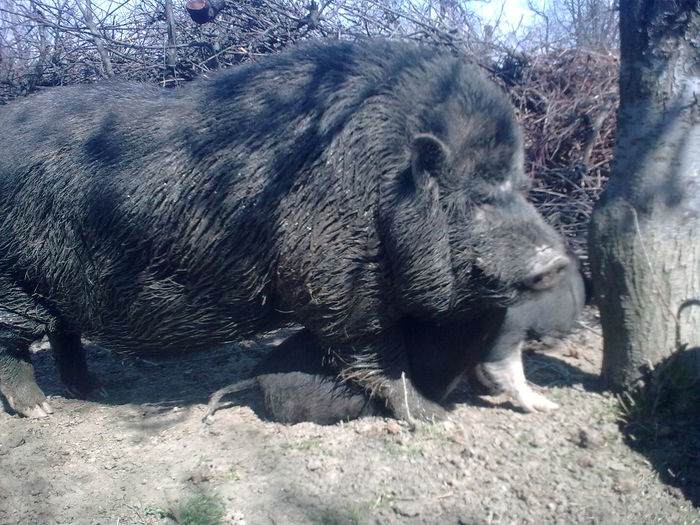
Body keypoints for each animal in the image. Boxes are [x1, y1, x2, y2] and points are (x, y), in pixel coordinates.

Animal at [0, 39, 576, 420]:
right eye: (478, 198)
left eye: (520, 185)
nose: (557, 263)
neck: (386, 189)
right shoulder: (340, 284)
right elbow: (378, 356)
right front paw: (430, 418)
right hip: (14, 279)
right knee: (15, 345)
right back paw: (38, 411)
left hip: (54, 286)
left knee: (65, 332)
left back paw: (92, 392)